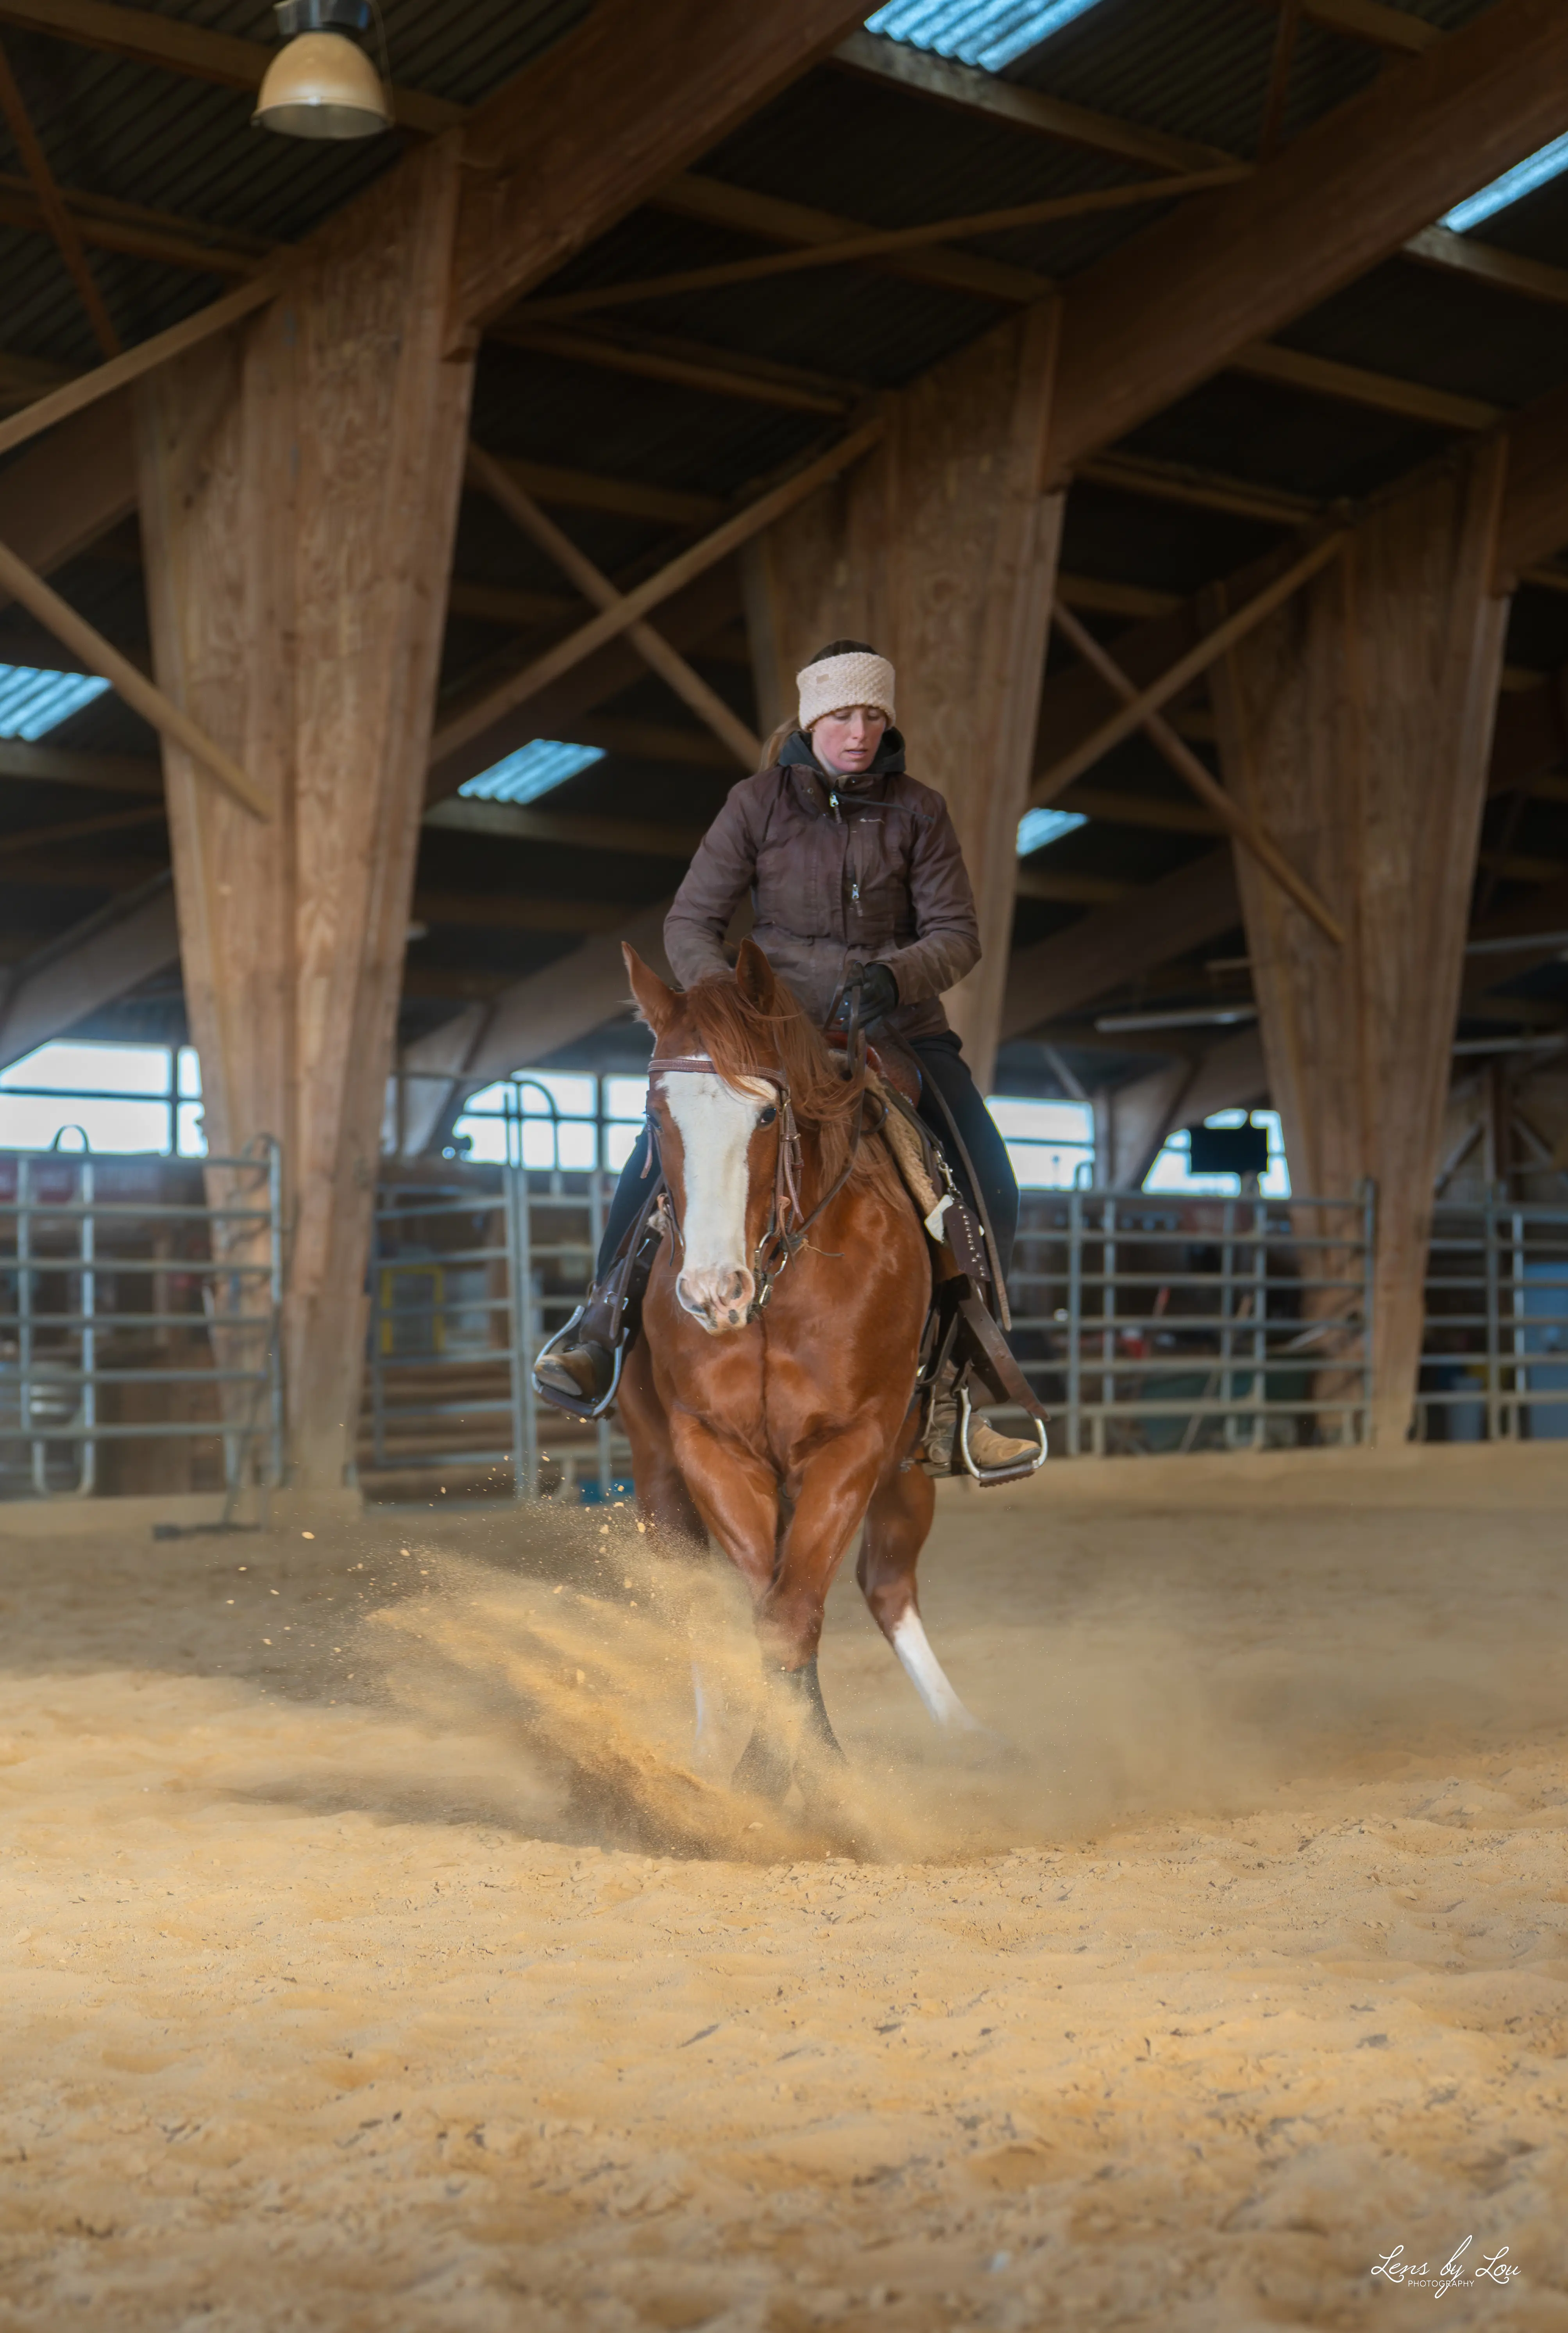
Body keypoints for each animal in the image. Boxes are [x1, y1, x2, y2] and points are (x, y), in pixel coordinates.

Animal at [615, 937, 989, 1796]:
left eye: (764, 1112)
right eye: (655, 1115)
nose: (711, 1291)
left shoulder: (852, 1443)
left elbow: (790, 1610)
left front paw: (793, 1771)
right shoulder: (712, 1446)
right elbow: (767, 1604)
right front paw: (777, 1765)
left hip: (905, 1461)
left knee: (885, 1586)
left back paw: (964, 1730)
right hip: (659, 1469)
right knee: (693, 1593)